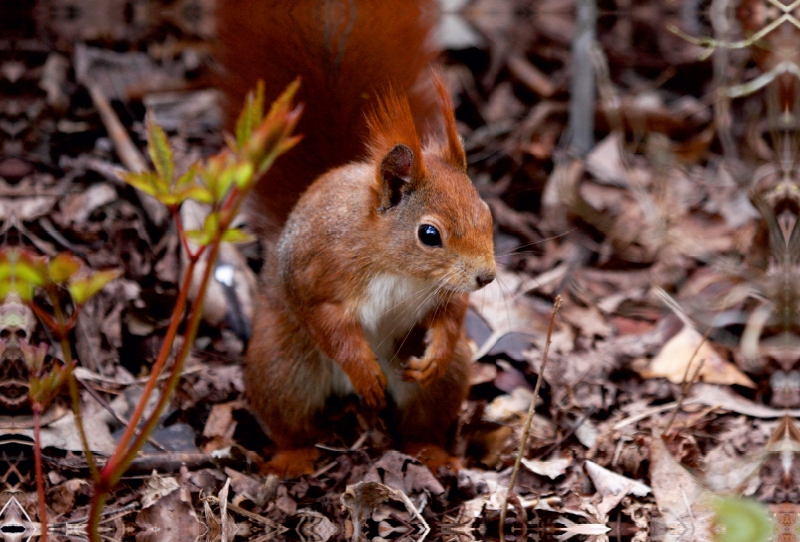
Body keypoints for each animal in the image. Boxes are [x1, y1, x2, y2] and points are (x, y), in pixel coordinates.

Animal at [216, 0, 496, 476]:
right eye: (429, 234)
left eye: (487, 212)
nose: (487, 277)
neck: (397, 265)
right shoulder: (319, 269)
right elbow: (327, 322)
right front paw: (363, 371)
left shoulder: (443, 290)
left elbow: (452, 312)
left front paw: (436, 351)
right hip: (281, 367)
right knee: (290, 420)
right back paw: (294, 455)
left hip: (442, 383)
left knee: (424, 418)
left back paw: (432, 452)